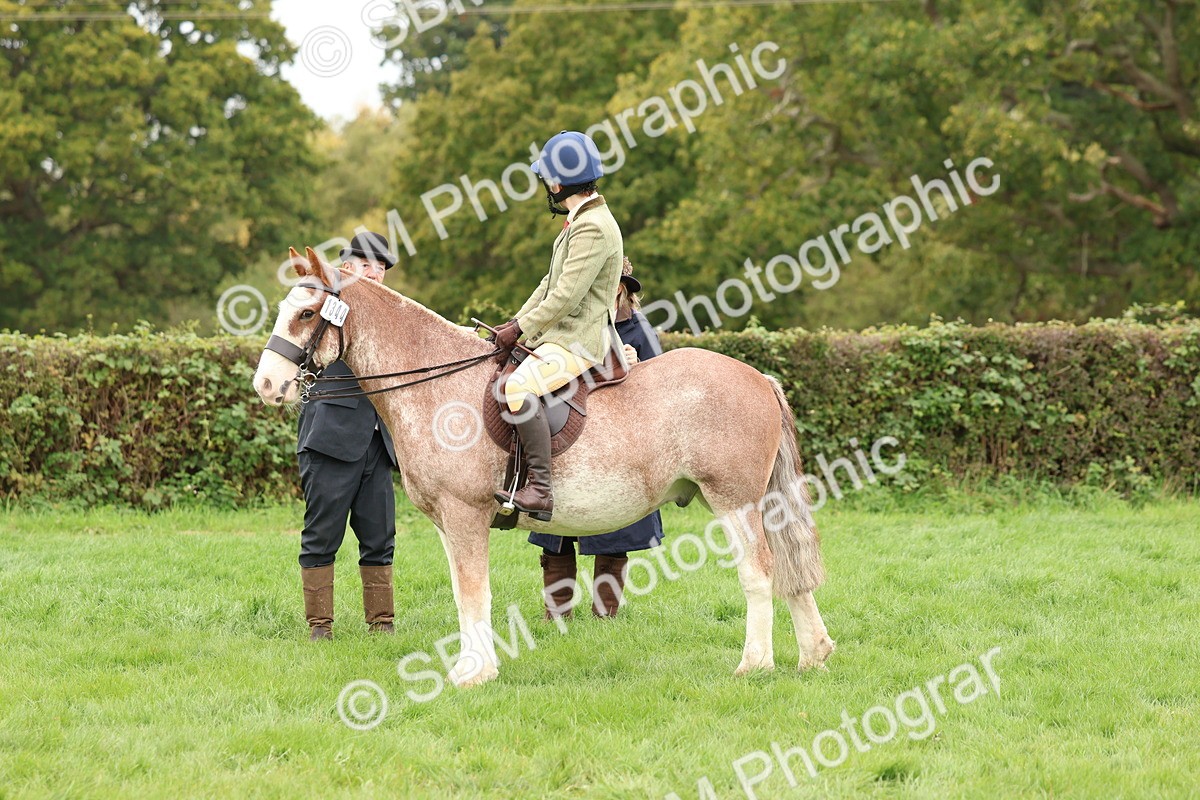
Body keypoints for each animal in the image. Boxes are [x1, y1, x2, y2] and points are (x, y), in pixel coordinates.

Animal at [252, 247, 834, 687]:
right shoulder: (447, 521)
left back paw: (755, 665)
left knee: (759, 570)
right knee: (788, 571)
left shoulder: (465, 515)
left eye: (306, 314)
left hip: (734, 500)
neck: (438, 382)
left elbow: (474, 592)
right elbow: (464, 594)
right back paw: (813, 655)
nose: (265, 385)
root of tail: (758, 377)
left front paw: (474, 674)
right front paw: (469, 667)